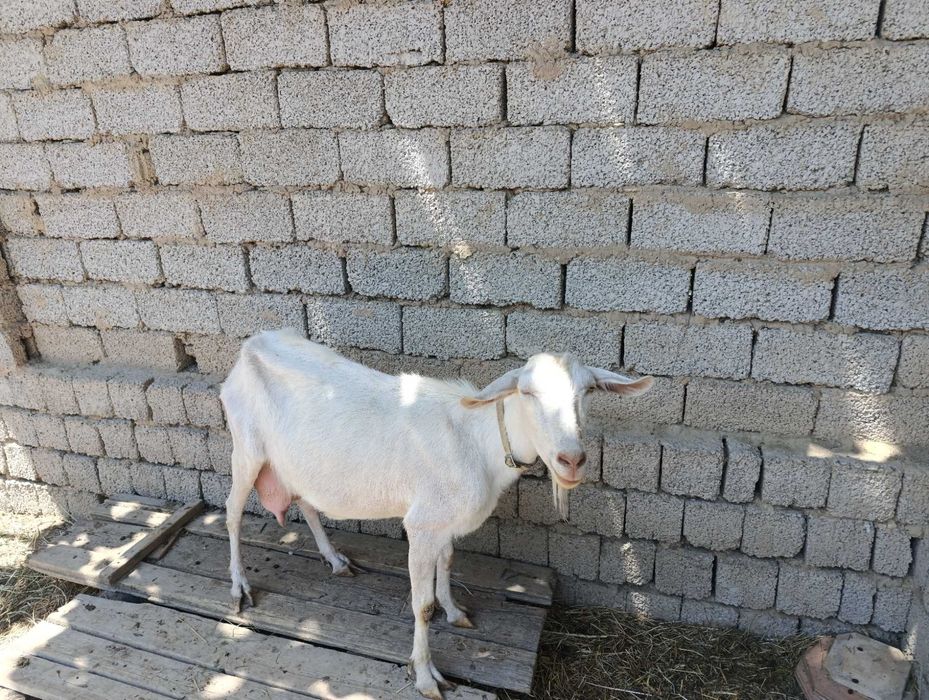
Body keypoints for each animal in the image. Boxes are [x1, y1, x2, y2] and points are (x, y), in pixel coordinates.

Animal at [220, 328, 652, 699]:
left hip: (295, 462)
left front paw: (454, 610)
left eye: (588, 390)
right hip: (246, 449)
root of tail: (250, 345)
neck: (477, 442)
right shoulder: (422, 525)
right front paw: (427, 675)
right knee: (232, 513)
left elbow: (448, 563)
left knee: (307, 501)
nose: (572, 460)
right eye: (527, 391)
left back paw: (335, 559)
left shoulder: (445, 521)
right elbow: (421, 604)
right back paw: (239, 587)